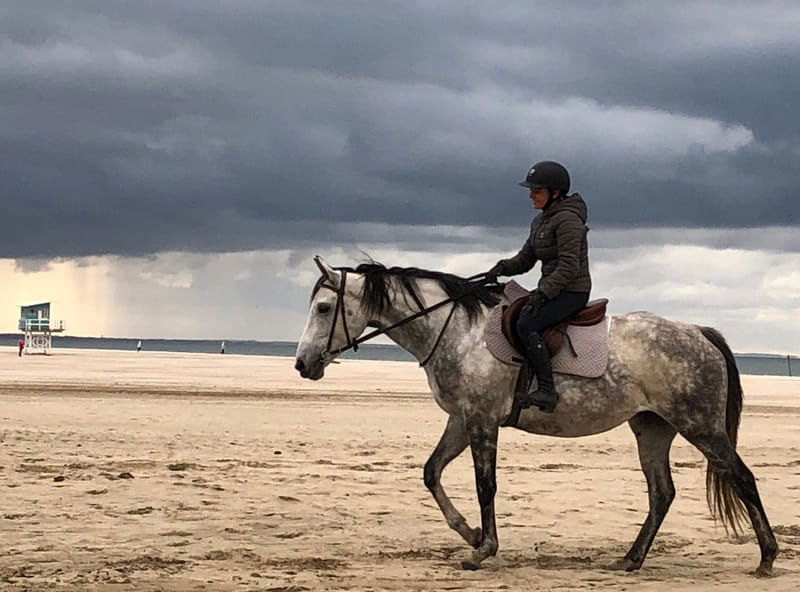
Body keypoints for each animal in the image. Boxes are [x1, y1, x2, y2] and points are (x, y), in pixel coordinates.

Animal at [292, 256, 776, 576]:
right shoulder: (461, 420)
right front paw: (469, 533)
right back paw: (631, 558)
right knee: (662, 493)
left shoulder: (481, 420)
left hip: (701, 427)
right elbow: (431, 472)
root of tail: (698, 333)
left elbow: (485, 485)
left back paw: (767, 558)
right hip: (652, 430)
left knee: (741, 477)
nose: (302, 364)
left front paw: (483, 549)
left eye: (323, 308)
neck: (455, 330)